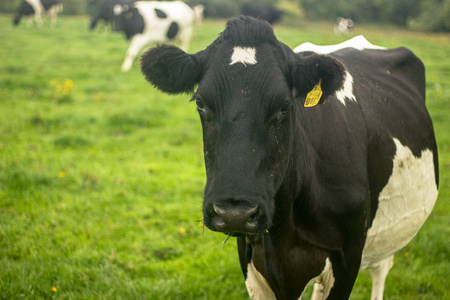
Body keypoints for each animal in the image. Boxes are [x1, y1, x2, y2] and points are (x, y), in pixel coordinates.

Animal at [139, 17, 438, 300]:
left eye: (285, 105)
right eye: (201, 103)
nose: (234, 214)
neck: (283, 234)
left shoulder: (348, 256)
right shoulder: (250, 255)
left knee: (381, 269)